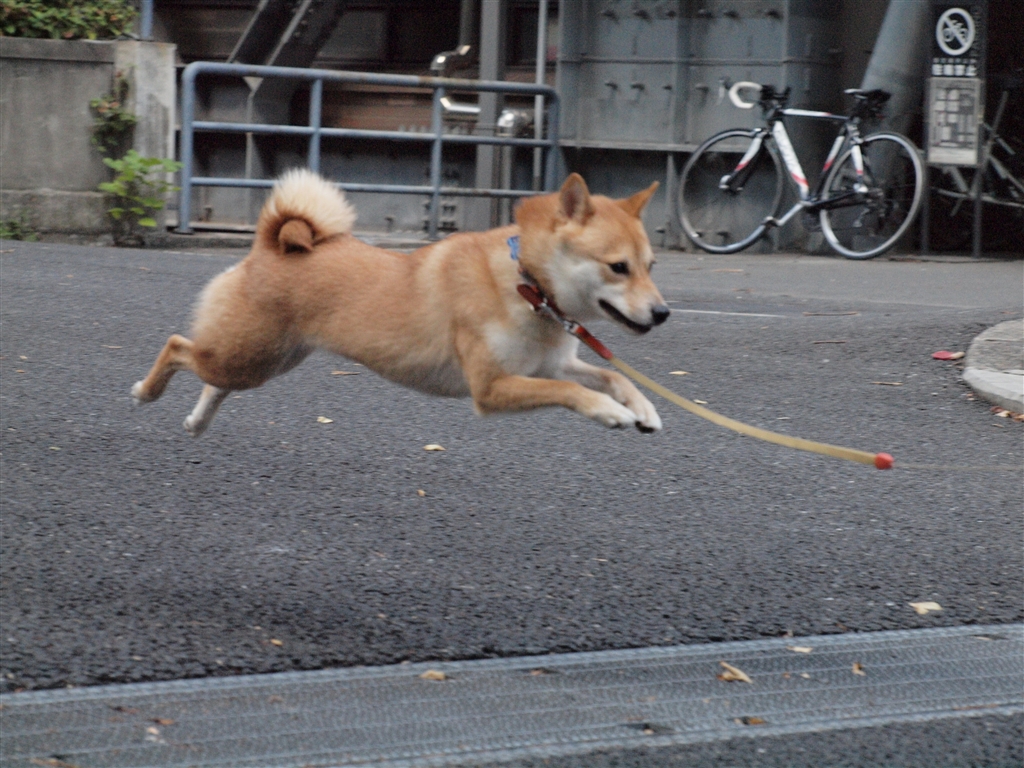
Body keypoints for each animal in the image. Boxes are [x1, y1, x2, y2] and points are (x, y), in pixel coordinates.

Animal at [131, 170, 670, 436]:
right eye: (618, 267)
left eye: (651, 265)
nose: (663, 313)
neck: (528, 287)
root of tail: (270, 243)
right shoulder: (492, 387)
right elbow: (575, 392)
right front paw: (608, 412)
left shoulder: (550, 365)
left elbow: (612, 376)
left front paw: (641, 407)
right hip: (247, 353)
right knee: (178, 346)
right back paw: (145, 391)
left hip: (262, 361)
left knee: (215, 382)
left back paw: (198, 421)